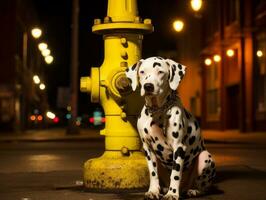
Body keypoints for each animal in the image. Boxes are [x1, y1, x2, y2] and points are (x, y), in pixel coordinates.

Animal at [125, 56, 215, 200]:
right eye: (142, 72)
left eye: (160, 72)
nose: (148, 86)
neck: (157, 111)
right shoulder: (148, 149)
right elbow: (153, 174)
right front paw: (153, 191)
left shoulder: (179, 148)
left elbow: (175, 174)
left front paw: (172, 193)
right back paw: (164, 189)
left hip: (204, 157)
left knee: (204, 187)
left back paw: (193, 190)